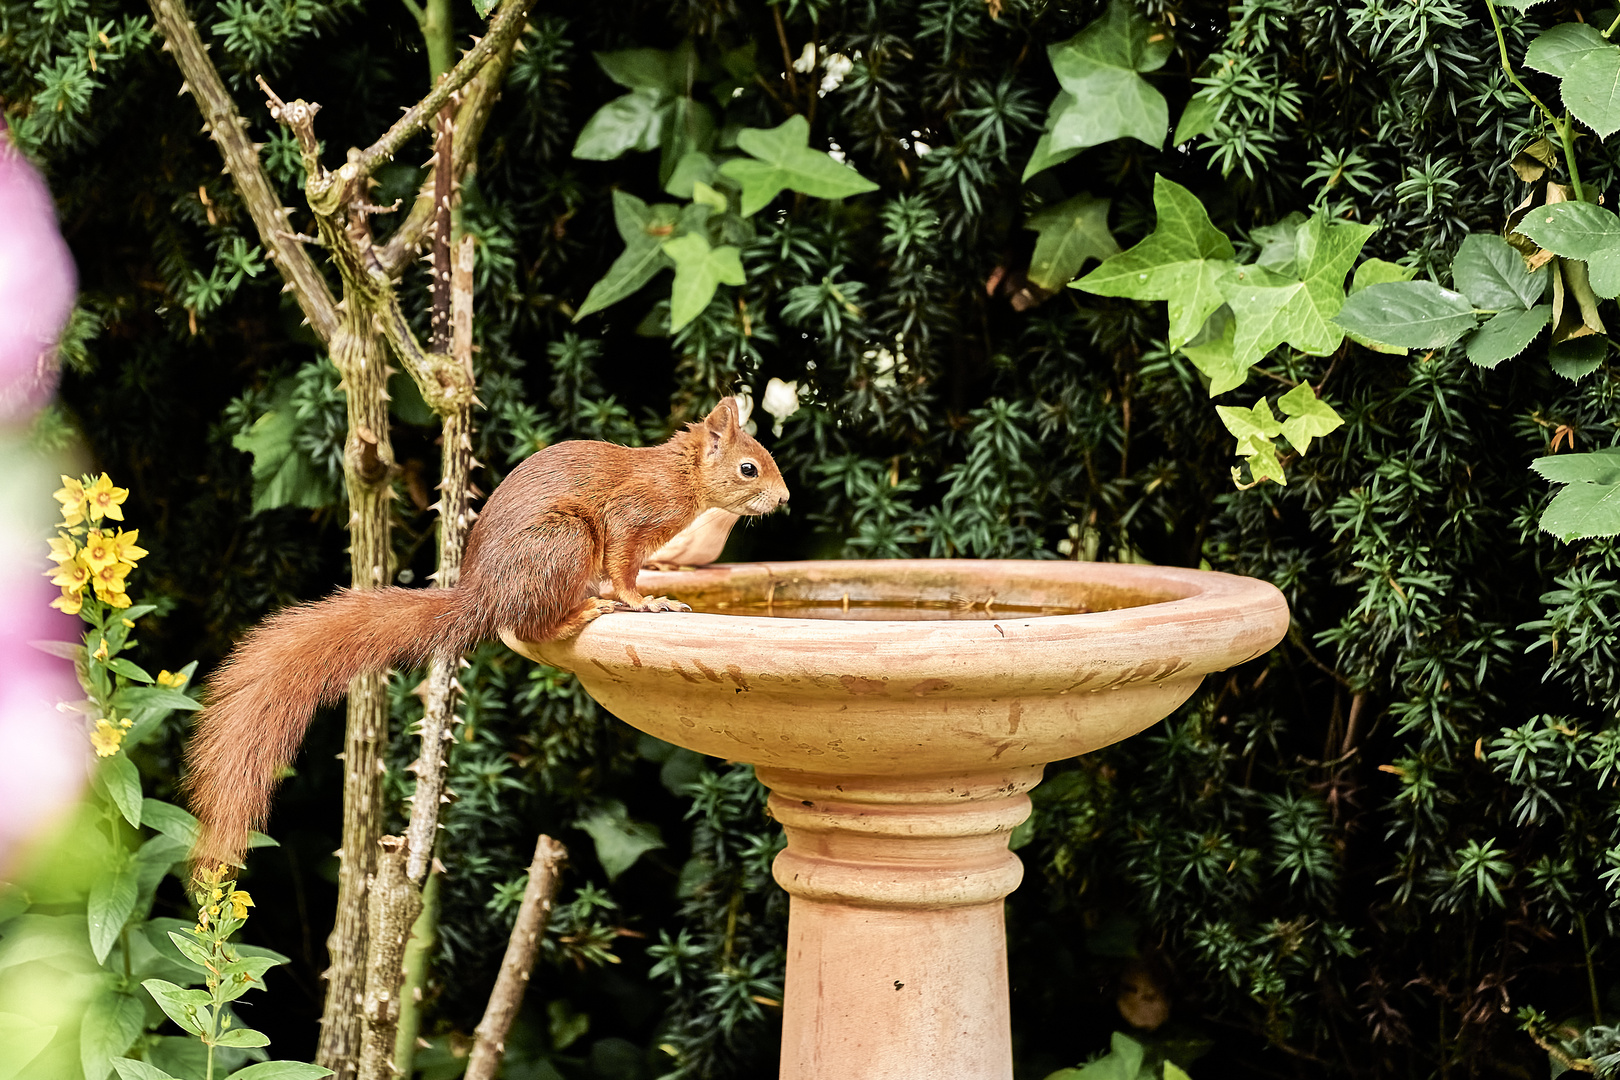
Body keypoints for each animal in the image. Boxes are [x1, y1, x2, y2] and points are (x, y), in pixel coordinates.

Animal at [186, 401, 787, 867]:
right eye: (749, 468)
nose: (783, 500)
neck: (679, 475)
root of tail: (485, 594)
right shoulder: (629, 519)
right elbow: (623, 570)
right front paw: (645, 601)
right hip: (564, 541)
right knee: (531, 622)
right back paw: (584, 612)